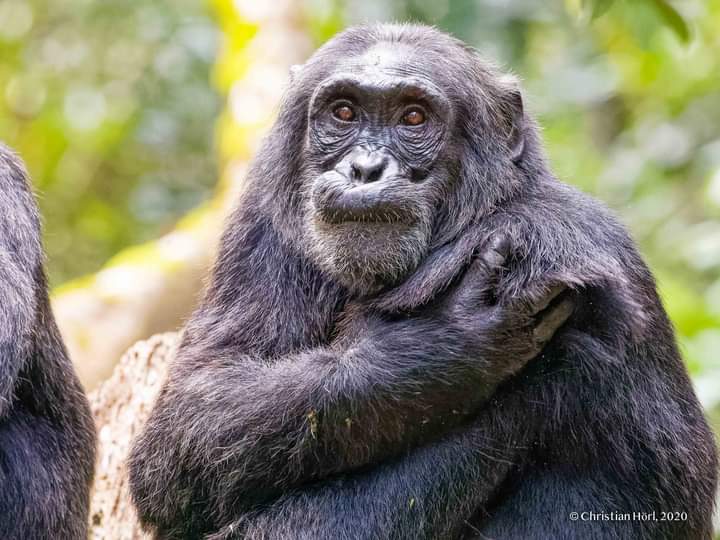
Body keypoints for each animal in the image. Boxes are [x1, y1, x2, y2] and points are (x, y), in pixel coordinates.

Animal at [129, 24, 717, 540]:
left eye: (413, 117)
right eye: (344, 112)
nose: (366, 168)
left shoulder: (560, 245)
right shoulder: (262, 222)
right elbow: (192, 413)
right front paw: (442, 342)